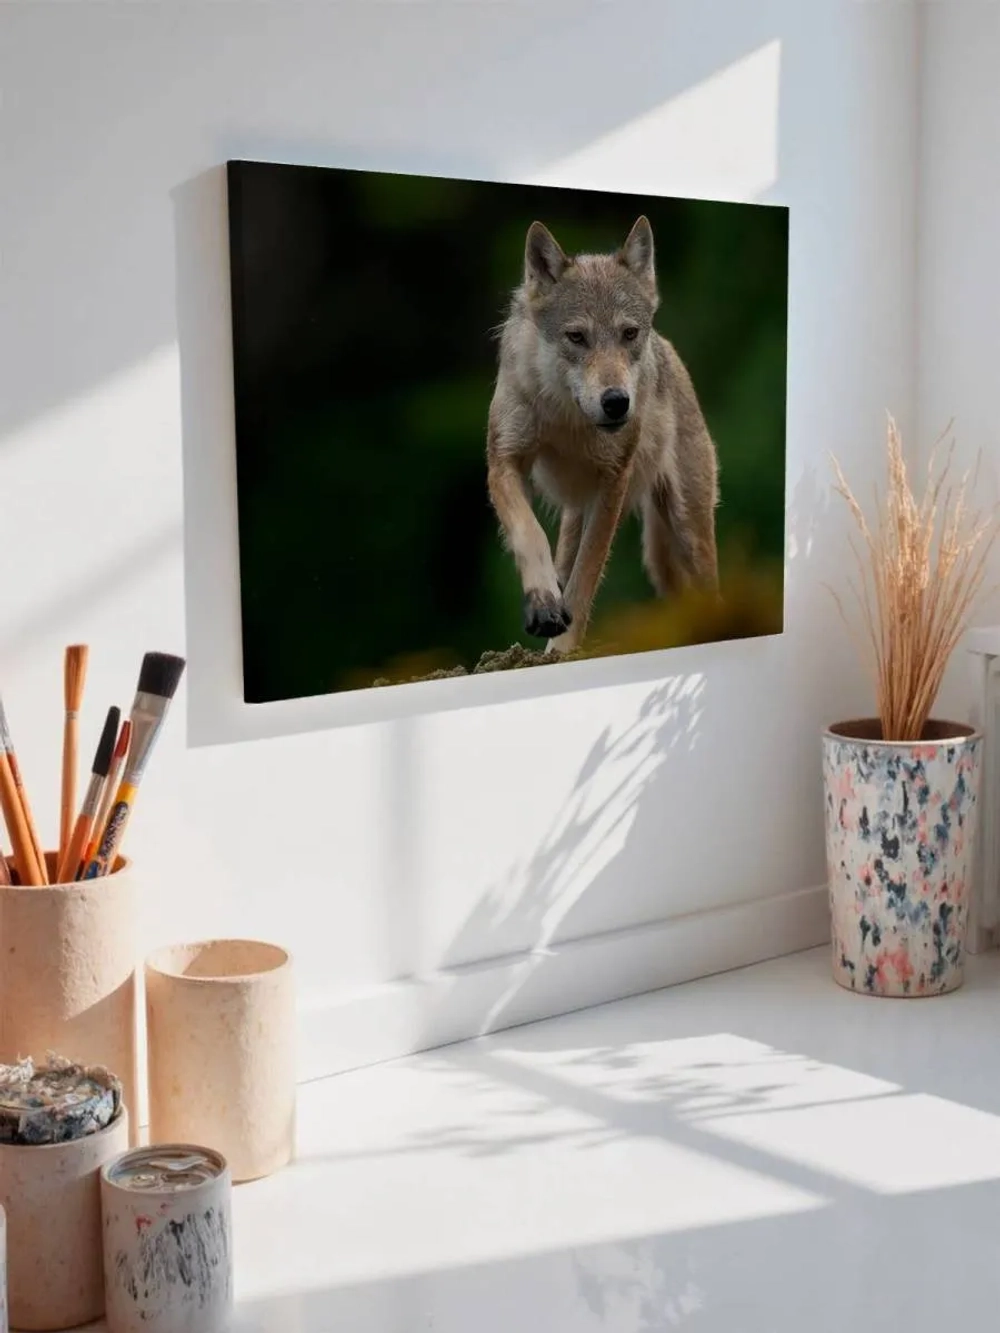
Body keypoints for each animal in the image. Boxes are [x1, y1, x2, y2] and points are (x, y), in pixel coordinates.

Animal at [486, 215, 719, 655]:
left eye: (629, 334)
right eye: (577, 337)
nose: (616, 402)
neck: (568, 419)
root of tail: (670, 352)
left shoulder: (612, 484)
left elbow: (585, 578)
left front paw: (563, 649)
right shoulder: (504, 461)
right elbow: (530, 534)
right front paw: (544, 605)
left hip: (685, 531)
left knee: (710, 590)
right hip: (578, 514)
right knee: (561, 556)